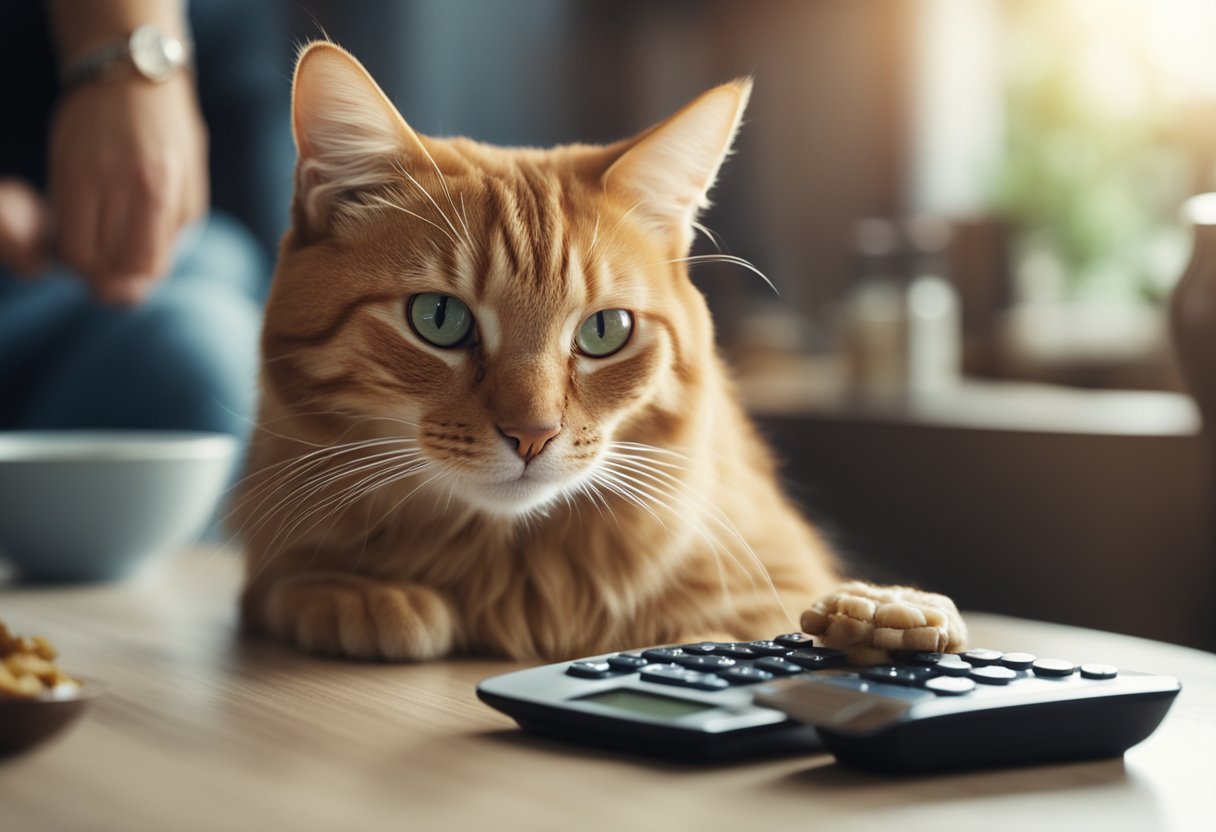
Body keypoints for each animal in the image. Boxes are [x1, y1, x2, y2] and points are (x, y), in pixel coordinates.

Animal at [232, 43, 963, 661]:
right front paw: (366, 595)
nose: (531, 435)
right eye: (438, 318)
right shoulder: (268, 565)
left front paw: (881, 611)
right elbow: (282, 585)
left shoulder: (779, 579)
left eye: (605, 330)